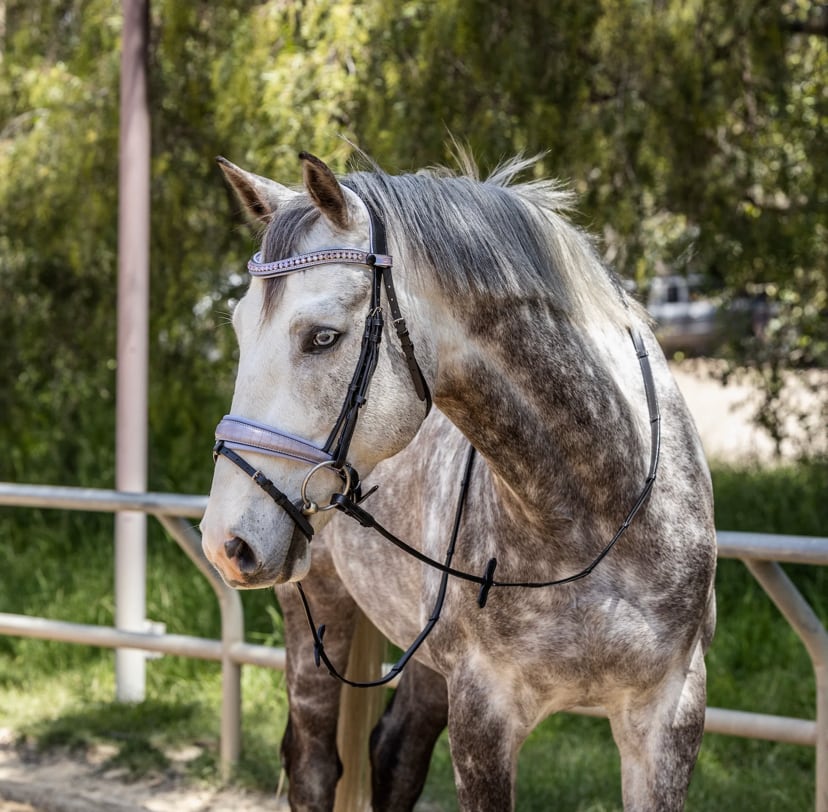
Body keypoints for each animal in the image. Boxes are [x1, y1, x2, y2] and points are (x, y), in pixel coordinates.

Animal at [197, 152, 716, 812]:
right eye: (239, 332)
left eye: (322, 337)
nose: (225, 541)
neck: (593, 516)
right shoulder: (483, 711)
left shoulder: (669, 716)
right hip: (316, 612)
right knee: (315, 765)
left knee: (395, 754)